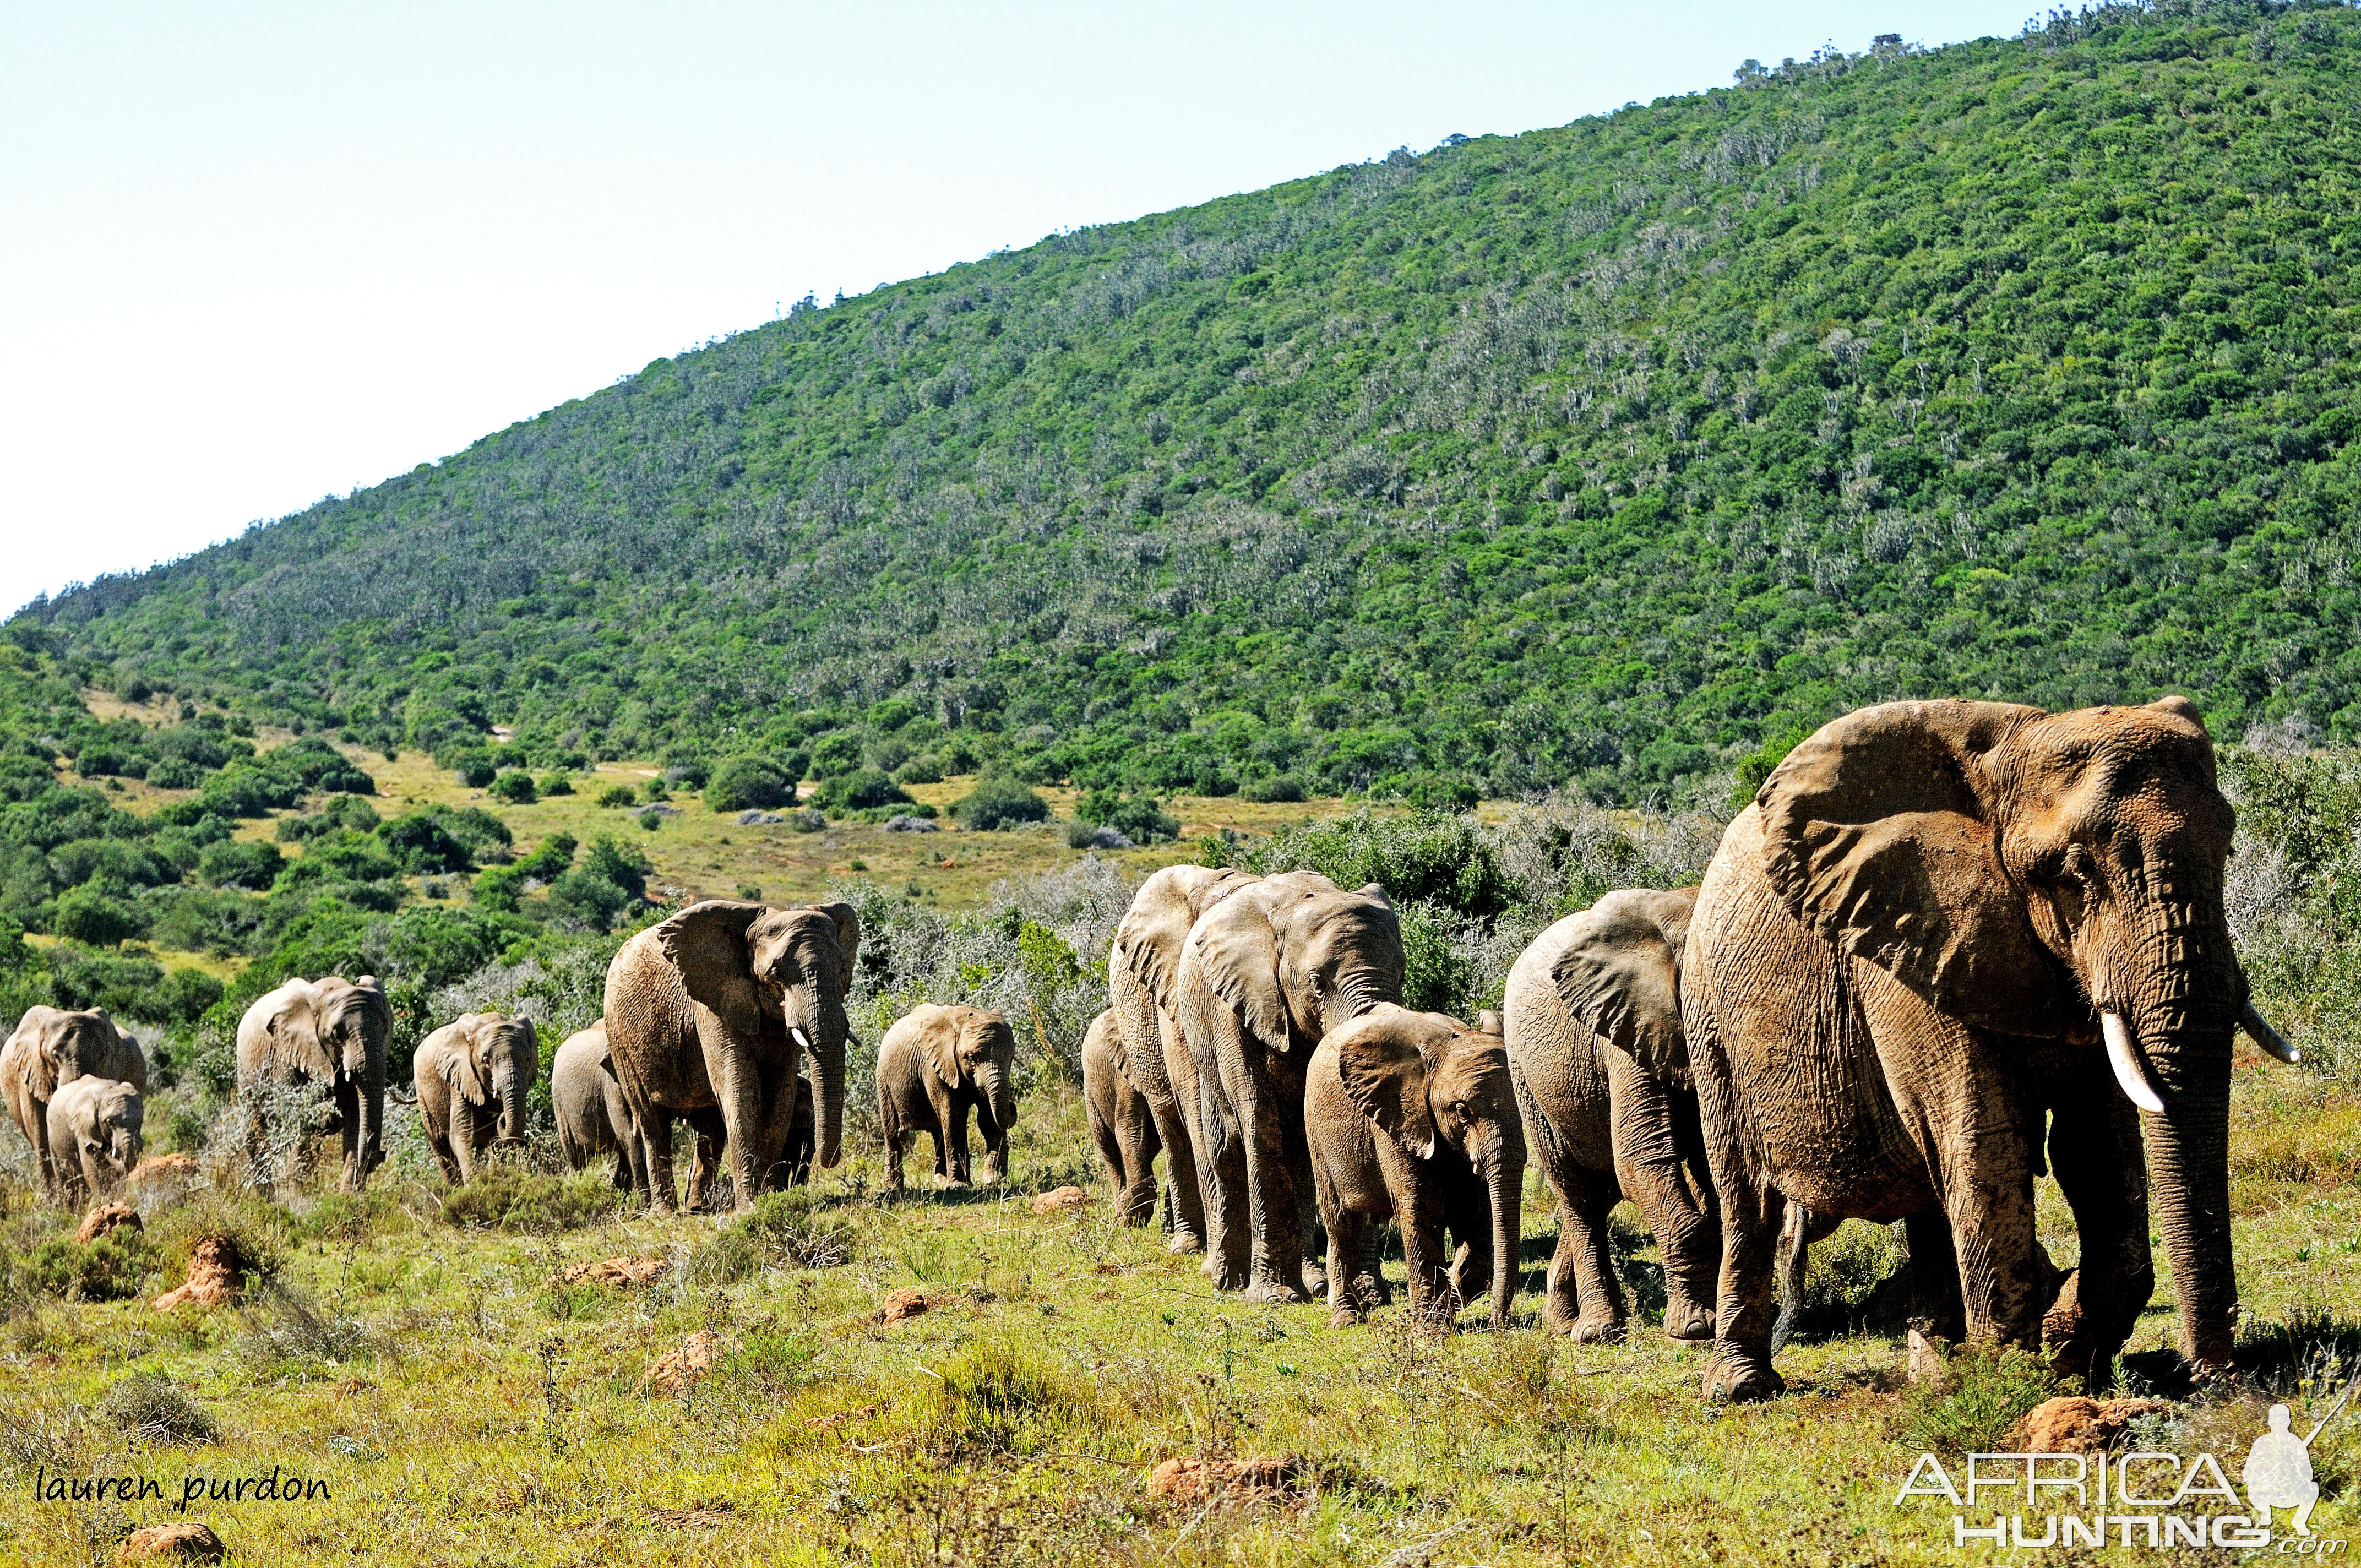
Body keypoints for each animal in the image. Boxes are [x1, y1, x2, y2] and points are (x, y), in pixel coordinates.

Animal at [44, 1072, 142, 1204]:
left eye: (141, 1121)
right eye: (109, 1122)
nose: (92, 1147)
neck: (108, 1090)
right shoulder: (84, 1129)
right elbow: (92, 1171)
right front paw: (103, 1202)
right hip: (52, 1135)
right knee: (64, 1175)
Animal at [420, 1010, 543, 1180]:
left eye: (528, 1059)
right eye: (486, 1061)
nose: (502, 1117)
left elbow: (496, 1142)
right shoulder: (460, 1077)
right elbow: (460, 1134)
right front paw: (476, 1183)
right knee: (440, 1146)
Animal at [873, 1006, 1010, 1190]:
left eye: (1011, 1057)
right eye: (972, 1058)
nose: (1013, 1108)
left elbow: (987, 1117)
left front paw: (994, 1180)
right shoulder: (935, 1067)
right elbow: (955, 1118)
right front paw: (960, 1186)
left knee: (938, 1130)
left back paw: (942, 1180)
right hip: (884, 1081)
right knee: (895, 1133)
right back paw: (894, 1189)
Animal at [1313, 1010, 1530, 1332]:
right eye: (1462, 1112)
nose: (1498, 1324)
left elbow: (1475, 1212)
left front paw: (1449, 1305)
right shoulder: (1397, 1116)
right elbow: (1423, 1206)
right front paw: (1432, 1328)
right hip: (1318, 1136)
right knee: (1341, 1222)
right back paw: (1347, 1319)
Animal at [1690, 694, 2294, 1398]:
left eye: (2228, 845)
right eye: (2074, 873)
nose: (2212, 1376)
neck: (2018, 744)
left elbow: (2096, 1148)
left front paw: (2067, 1357)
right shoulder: (1910, 945)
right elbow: (1986, 1138)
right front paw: (2013, 1382)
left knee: (1928, 1195)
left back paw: (1934, 1374)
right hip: (1708, 1017)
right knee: (1746, 1196)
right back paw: (1743, 1388)